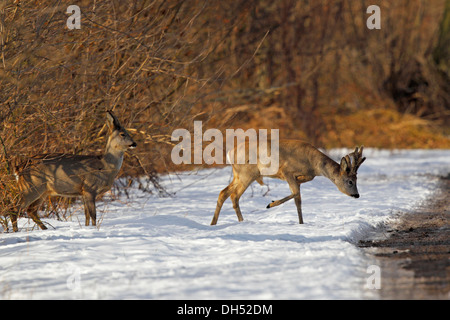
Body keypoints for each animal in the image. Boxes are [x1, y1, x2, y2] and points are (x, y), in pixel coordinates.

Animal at [211, 140, 366, 225]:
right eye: (350, 181)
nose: (357, 195)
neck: (314, 165)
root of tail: (230, 153)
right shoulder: (287, 171)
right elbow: (295, 193)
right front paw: (270, 204)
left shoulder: (300, 178)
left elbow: (298, 200)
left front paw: (301, 223)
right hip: (247, 174)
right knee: (234, 195)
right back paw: (241, 221)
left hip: (238, 175)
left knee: (223, 193)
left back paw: (213, 223)